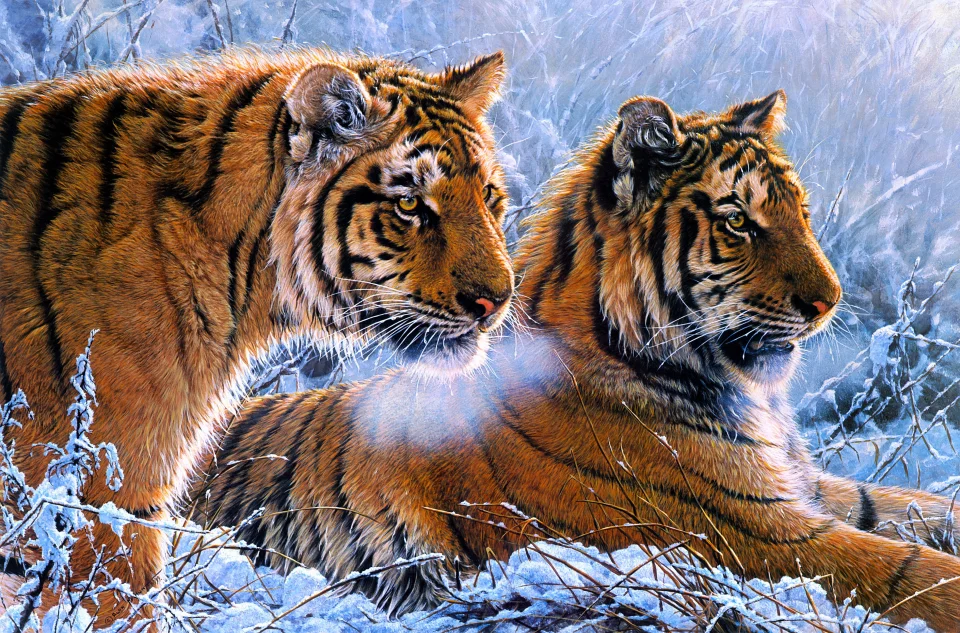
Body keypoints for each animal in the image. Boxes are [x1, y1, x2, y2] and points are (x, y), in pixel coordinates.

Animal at [196, 91, 960, 629]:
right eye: (738, 220)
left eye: (799, 209)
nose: (830, 301)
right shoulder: (752, 531)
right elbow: (913, 571)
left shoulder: (802, 488)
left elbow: (919, 507)